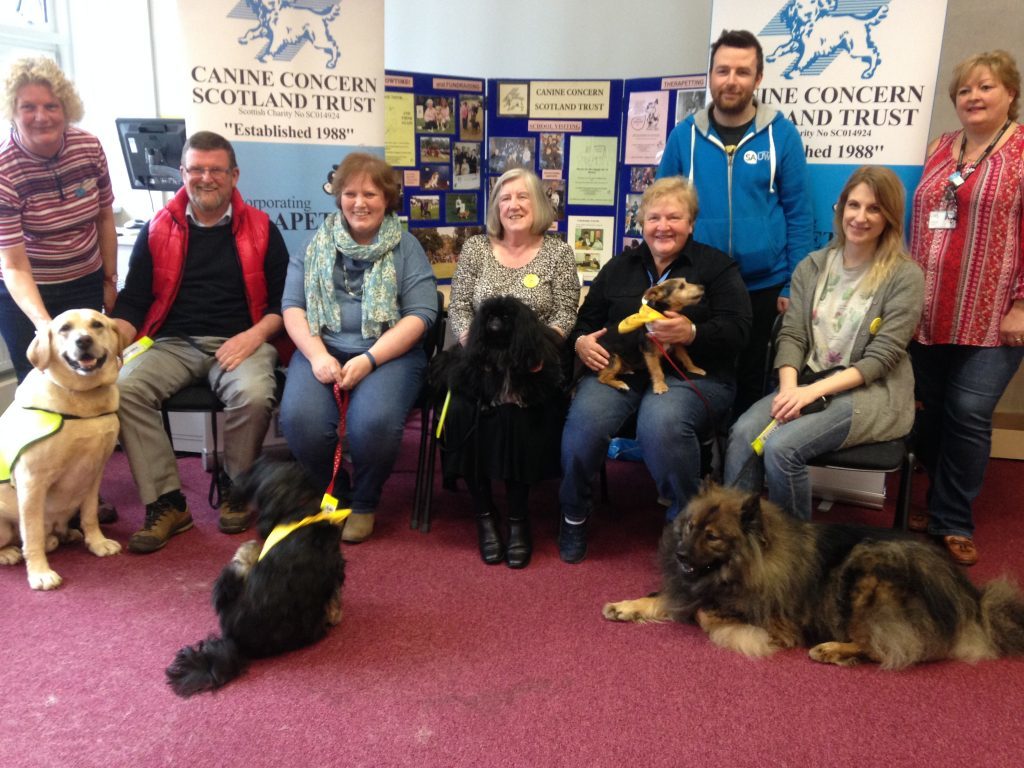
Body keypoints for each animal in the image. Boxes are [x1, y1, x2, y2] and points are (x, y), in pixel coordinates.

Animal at [0, 309, 122, 593]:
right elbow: (31, 534)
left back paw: (65, 535)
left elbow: (90, 515)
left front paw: (97, 542)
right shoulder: (32, 482)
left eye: (97, 324)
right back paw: (9, 553)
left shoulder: (94, 471)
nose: (84, 341)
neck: (82, 399)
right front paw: (40, 573)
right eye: (64, 328)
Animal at [165, 460, 346, 700]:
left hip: (226, 584)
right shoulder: (334, 568)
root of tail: (236, 642)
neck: (297, 510)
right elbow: (334, 597)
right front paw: (336, 615)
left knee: (240, 562)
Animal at [602, 483, 1024, 671]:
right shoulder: (688, 588)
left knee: (889, 648)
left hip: (868, 571)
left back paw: (833, 649)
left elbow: (707, 613)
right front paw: (625, 606)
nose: (680, 555)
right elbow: (662, 596)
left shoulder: (776, 621)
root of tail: (971, 597)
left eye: (713, 537)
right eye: (689, 527)